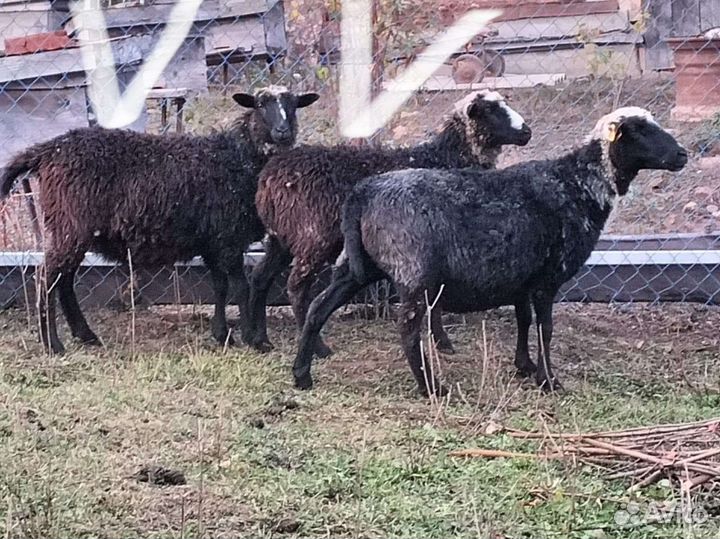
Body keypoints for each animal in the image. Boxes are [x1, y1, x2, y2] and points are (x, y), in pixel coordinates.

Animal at [0, 85, 320, 354]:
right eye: (261, 104)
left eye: (293, 106)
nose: (282, 131)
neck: (239, 157)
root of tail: (49, 150)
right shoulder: (228, 238)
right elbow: (239, 287)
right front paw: (252, 338)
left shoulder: (213, 240)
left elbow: (219, 286)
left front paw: (222, 335)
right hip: (69, 224)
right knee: (48, 277)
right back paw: (53, 344)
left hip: (73, 229)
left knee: (64, 280)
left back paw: (86, 335)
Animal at [246, 90, 532, 357]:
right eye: (490, 111)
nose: (527, 132)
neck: (443, 157)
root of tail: (269, 178)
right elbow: (436, 300)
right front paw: (443, 342)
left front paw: (440, 342)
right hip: (313, 236)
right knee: (296, 287)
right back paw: (318, 347)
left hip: (281, 237)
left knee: (261, 277)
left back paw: (259, 340)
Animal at [291, 107, 688, 396]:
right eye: (640, 130)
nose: (682, 155)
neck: (578, 183)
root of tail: (364, 192)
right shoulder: (548, 277)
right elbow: (546, 328)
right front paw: (549, 380)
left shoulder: (523, 277)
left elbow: (524, 320)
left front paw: (524, 366)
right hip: (415, 274)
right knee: (407, 330)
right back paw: (432, 387)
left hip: (358, 266)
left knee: (318, 307)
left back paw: (302, 375)